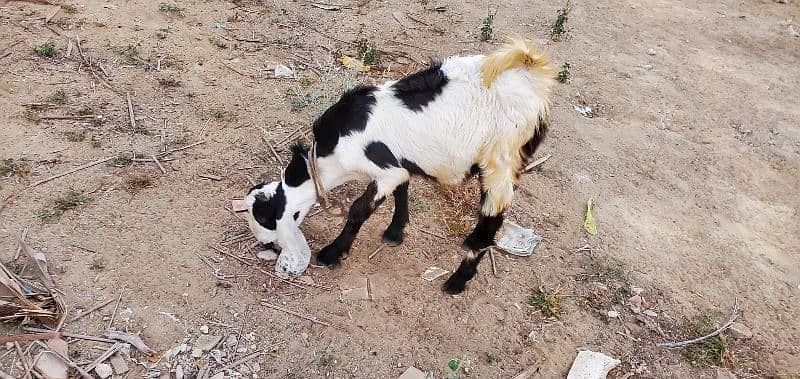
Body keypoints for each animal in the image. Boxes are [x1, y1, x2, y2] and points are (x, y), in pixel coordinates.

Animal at [247, 38, 552, 294]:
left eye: (263, 218)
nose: (265, 244)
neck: (326, 158)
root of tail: (530, 72)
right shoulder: (399, 165)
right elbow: (402, 189)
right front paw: (395, 233)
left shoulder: (384, 170)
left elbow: (359, 209)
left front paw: (332, 253)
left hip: (500, 163)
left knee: (489, 225)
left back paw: (457, 282)